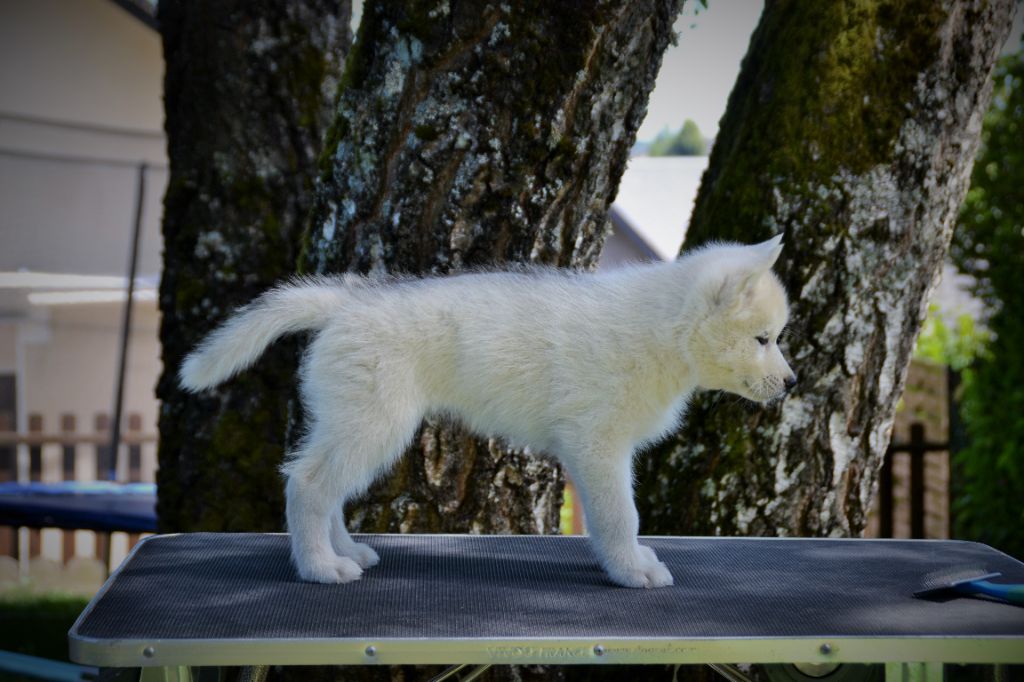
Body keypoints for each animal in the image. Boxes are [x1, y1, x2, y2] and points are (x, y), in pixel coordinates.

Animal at [179, 235, 796, 588]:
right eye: (763, 339)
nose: (792, 384)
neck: (663, 330)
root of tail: (348, 301)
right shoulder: (598, 447)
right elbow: (621, 515)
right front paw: (631, 569)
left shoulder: (600, 450)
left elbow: (616, 518)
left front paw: (626, 562)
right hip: (374, 423)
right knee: (307, 483)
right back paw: (319, 568)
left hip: (352, 419)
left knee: (323, 485)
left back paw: (345, 551)